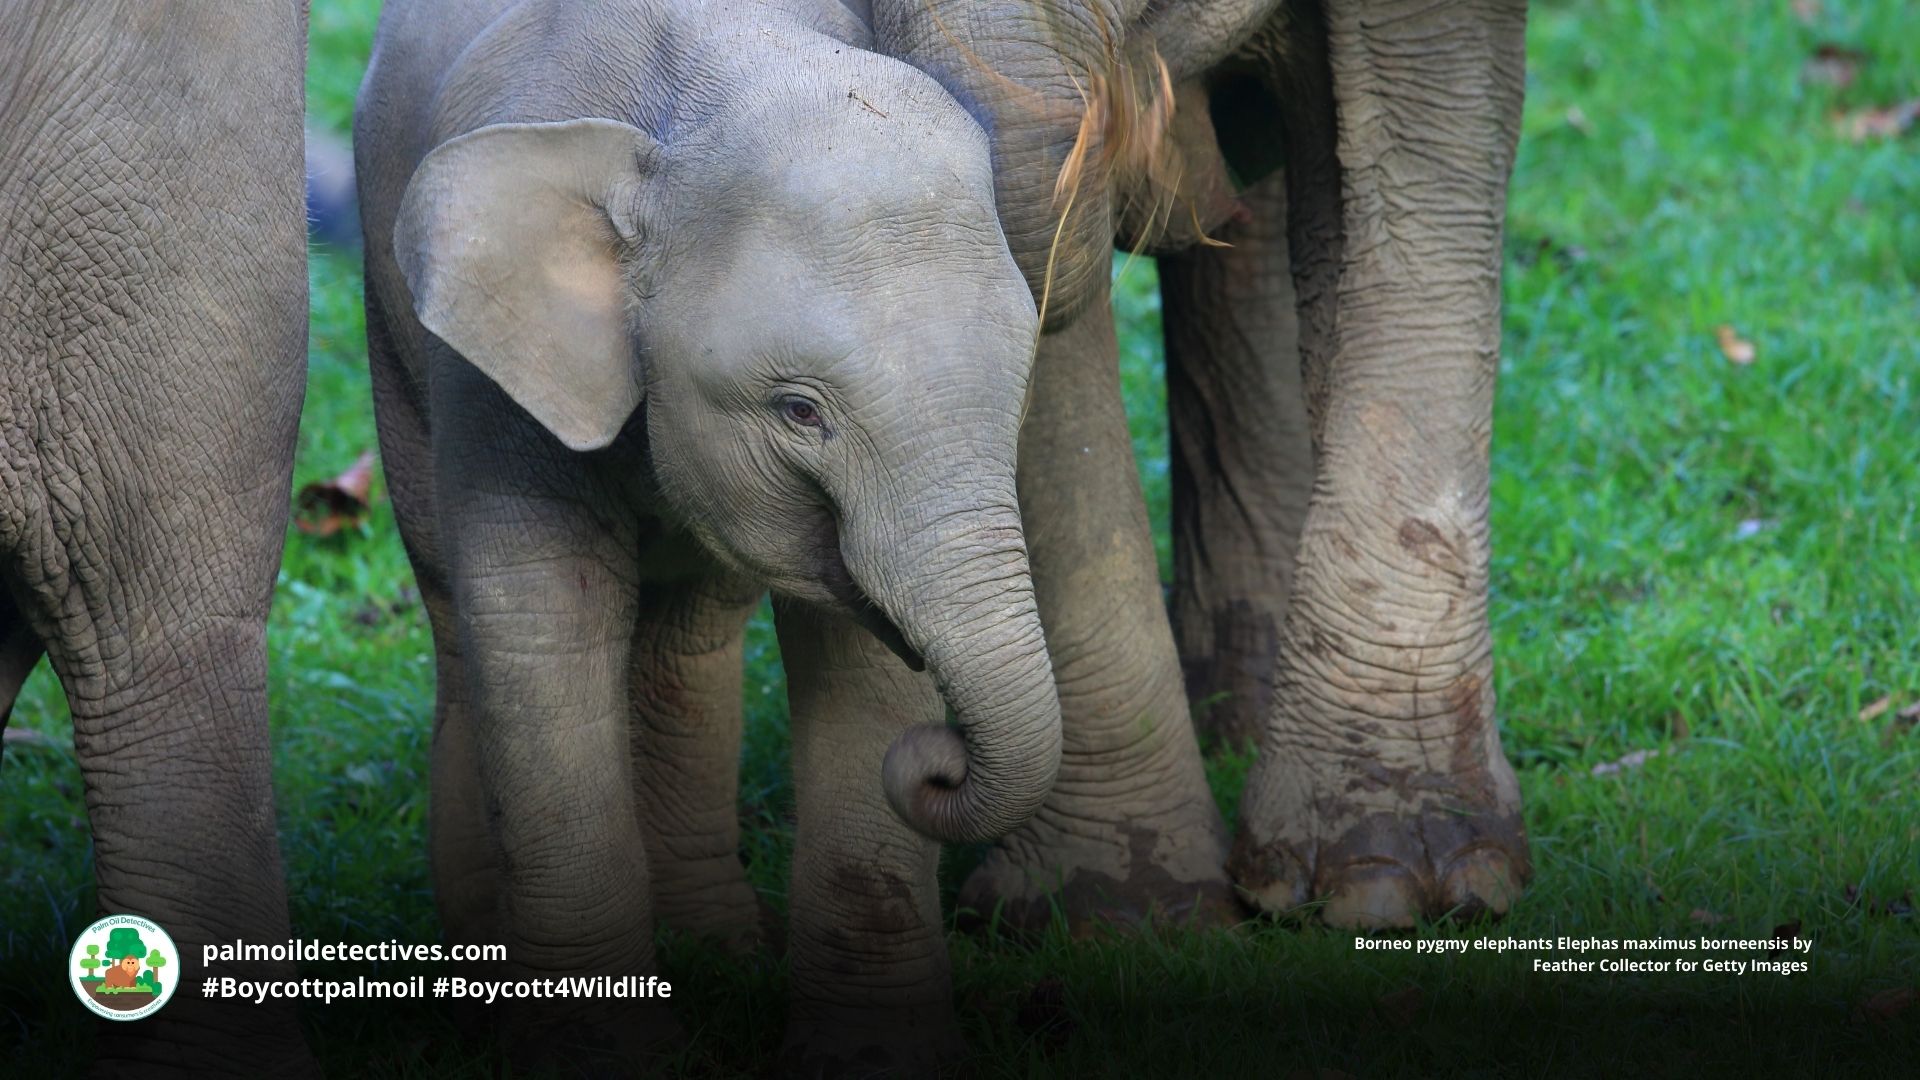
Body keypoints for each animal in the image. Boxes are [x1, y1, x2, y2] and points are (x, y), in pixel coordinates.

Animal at [354, 0, 1064, 1067]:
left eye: (1021, 382)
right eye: (799, 412)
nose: (937, 757)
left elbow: (857, 658)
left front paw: (874, 1058)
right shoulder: (489, 372)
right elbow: (543, 617)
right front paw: (603, 1060)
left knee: (690, 628)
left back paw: (718, 945)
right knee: (457, 610)